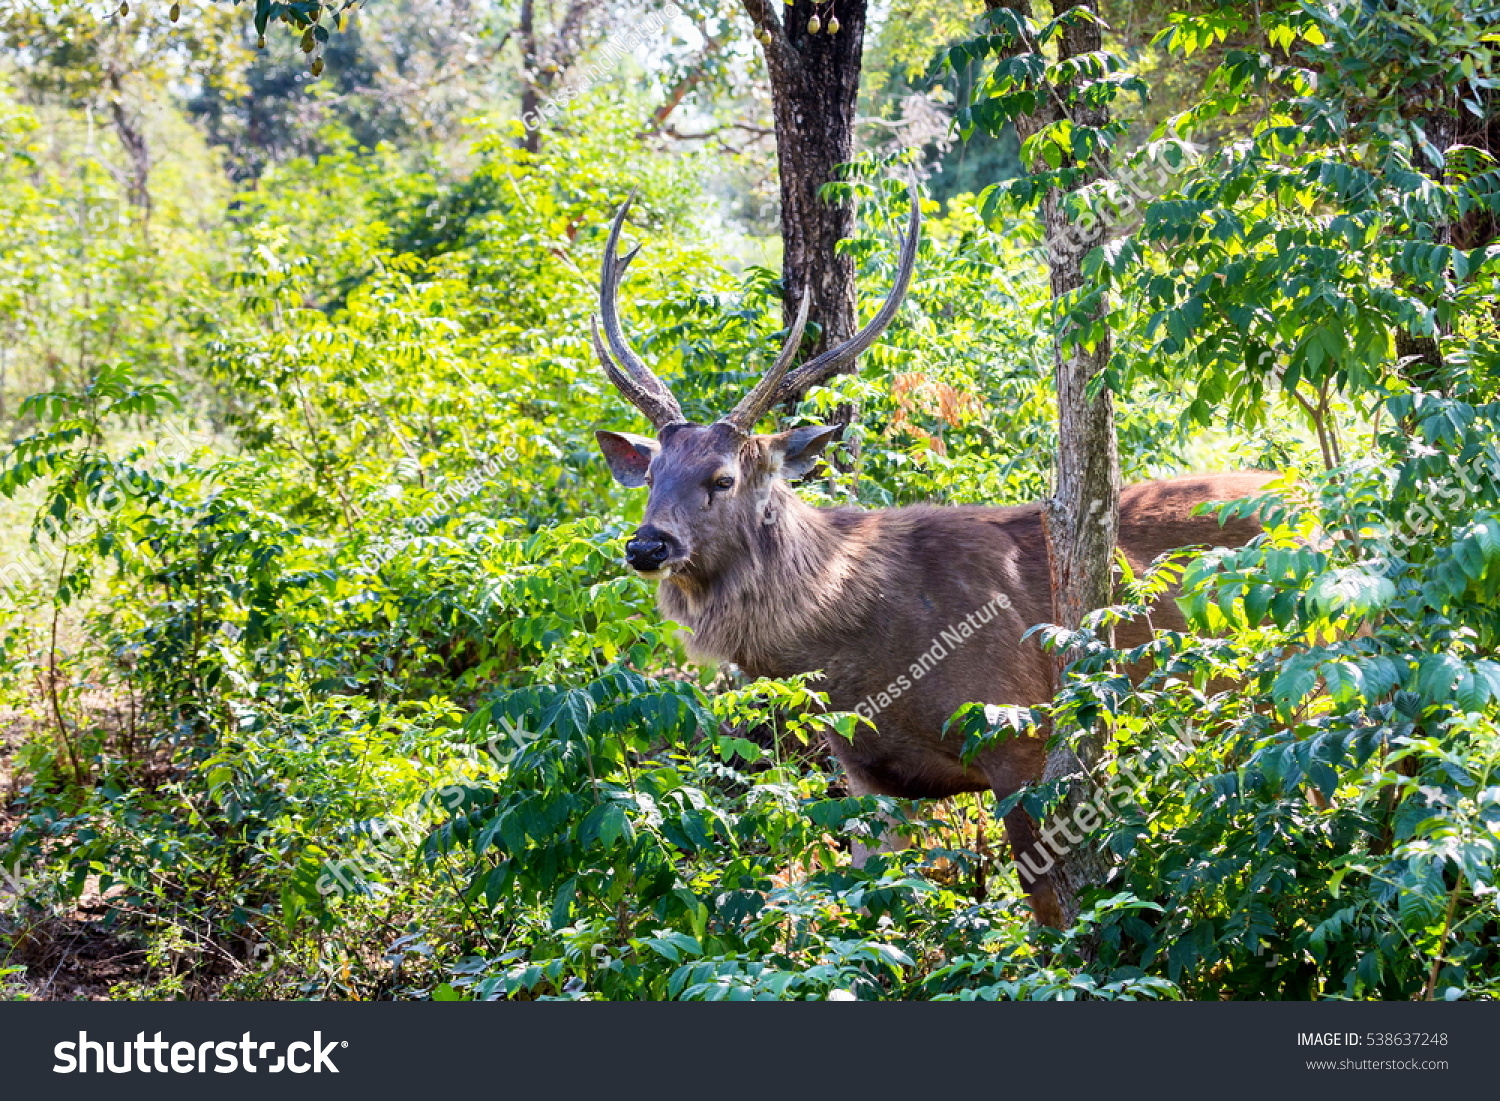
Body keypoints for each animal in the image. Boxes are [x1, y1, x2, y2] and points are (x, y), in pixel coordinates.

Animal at [591, 192, 1272, 930]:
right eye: (651, 473)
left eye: (722, 477)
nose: (647, 544)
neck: (859, 645)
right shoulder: (866, 773)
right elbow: (861, 909)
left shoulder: (1020, 731)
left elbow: (1051, 909)